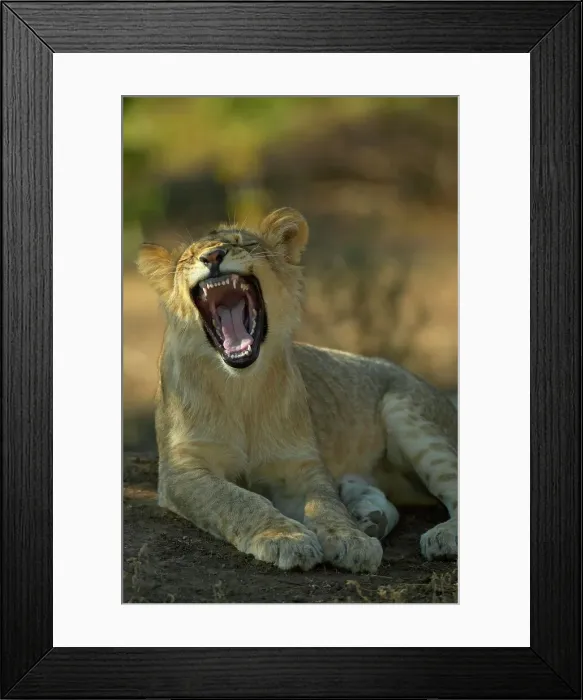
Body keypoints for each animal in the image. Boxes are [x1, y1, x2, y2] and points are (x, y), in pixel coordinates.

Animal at [137, 208, 458, 573]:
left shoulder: (300, 464)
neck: (240, 385)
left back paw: (436, 535)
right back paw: (369, 516)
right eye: (188, 258)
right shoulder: (184, 469)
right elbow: (239, 499)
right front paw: (286, 538)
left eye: (243, 243)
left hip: (406, 412)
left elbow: (325, 503)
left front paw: (350, 539)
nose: (213, 256)